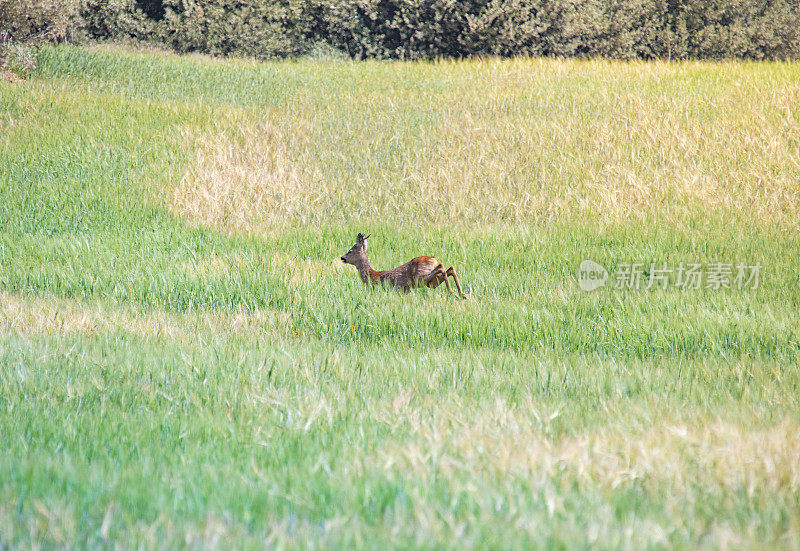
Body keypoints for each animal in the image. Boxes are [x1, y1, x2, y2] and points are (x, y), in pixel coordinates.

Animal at [340, 235, 468, 300]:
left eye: (350, 251)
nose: (342, 257)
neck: (371, 275)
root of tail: (435, 259)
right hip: (432, 282)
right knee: (450, 268)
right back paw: (462, 294)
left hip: (421, 278)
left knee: (442, 267)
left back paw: (453, 293)